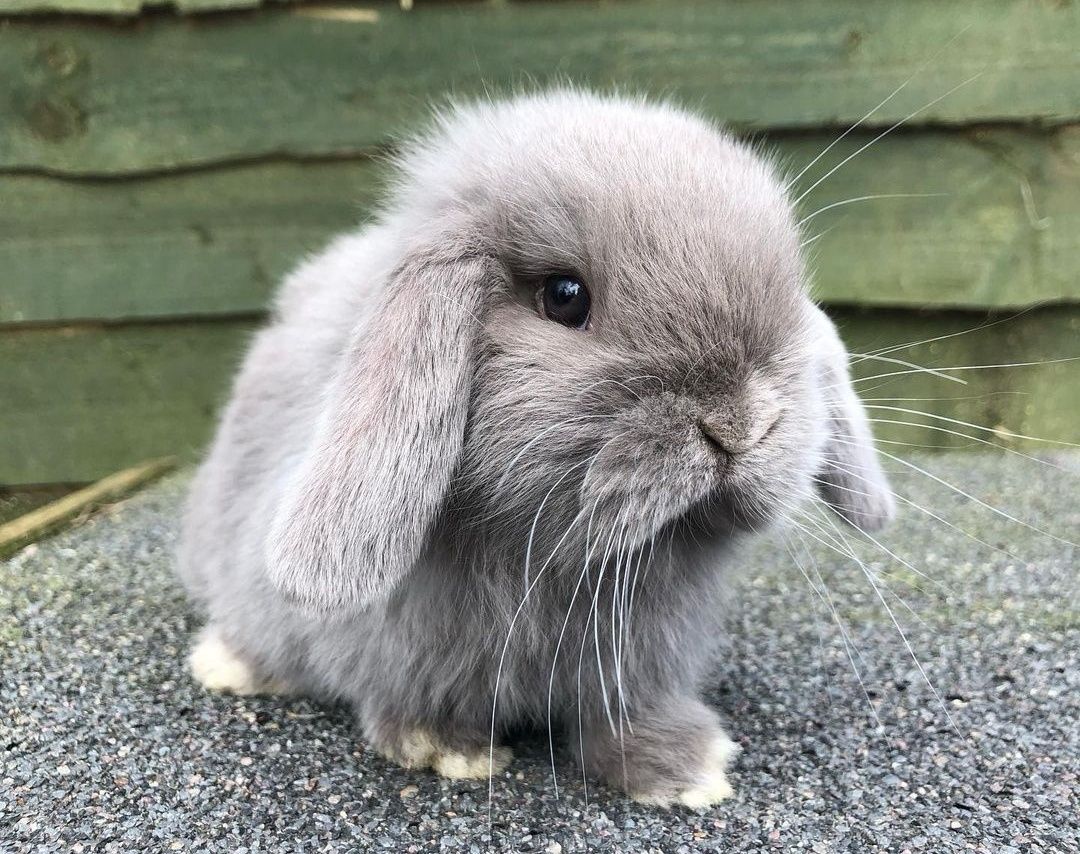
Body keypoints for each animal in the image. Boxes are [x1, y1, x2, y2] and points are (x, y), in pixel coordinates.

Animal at [174, 88, 894, 807]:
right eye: (564, 296)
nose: (740, 426)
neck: (564, 568)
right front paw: (446, 749)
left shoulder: (639, 661)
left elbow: (626, 714)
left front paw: (687, 768)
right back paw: (228, 664)